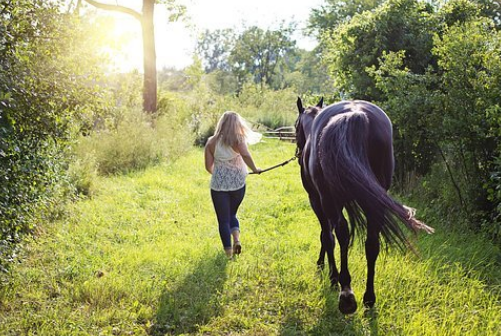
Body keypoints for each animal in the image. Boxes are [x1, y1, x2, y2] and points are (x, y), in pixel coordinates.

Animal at [294, 98, 432, 316]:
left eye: (295, 126)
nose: (299, 153)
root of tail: (354, 113)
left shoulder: (317, 200)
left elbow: (327, 236)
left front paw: (330, 274)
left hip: (330, 200)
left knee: (341, 234)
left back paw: (346, 294)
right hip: (373, 202)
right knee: (372, 243)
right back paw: (369, 297)